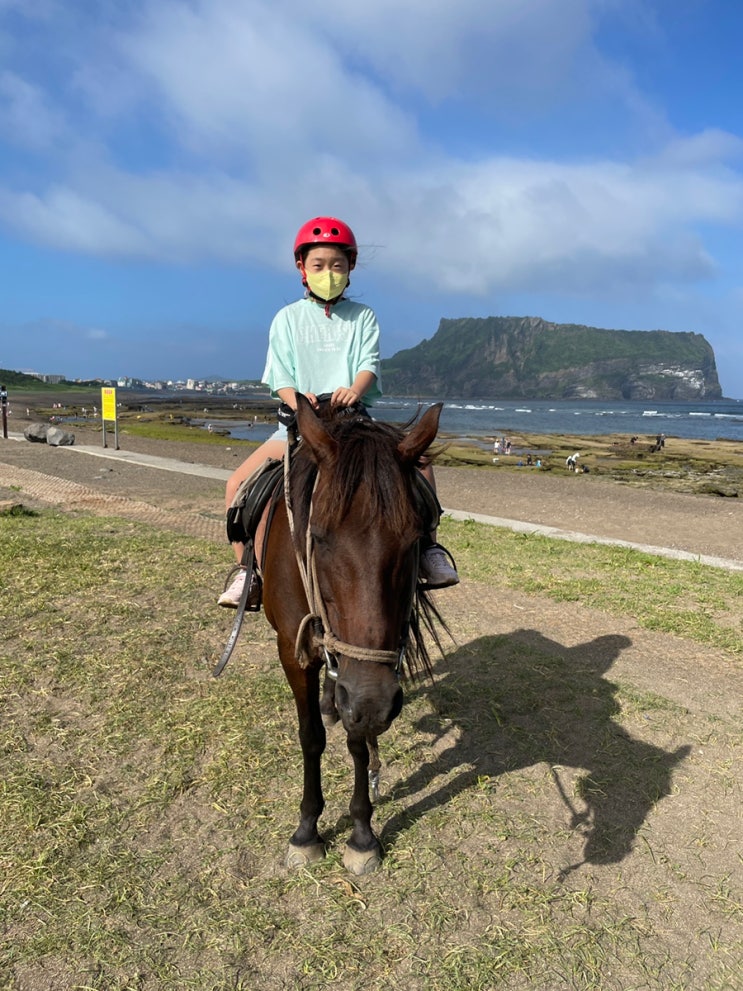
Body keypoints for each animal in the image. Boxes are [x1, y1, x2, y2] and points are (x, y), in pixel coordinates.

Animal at [262, 396, 444, 876]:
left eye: (414, 539)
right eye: (318, 537)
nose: (371, 702)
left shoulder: (365, 684)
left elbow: (358, 741)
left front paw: (362, 835)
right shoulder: (293, 650)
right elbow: (311, 737)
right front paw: (307, 830)